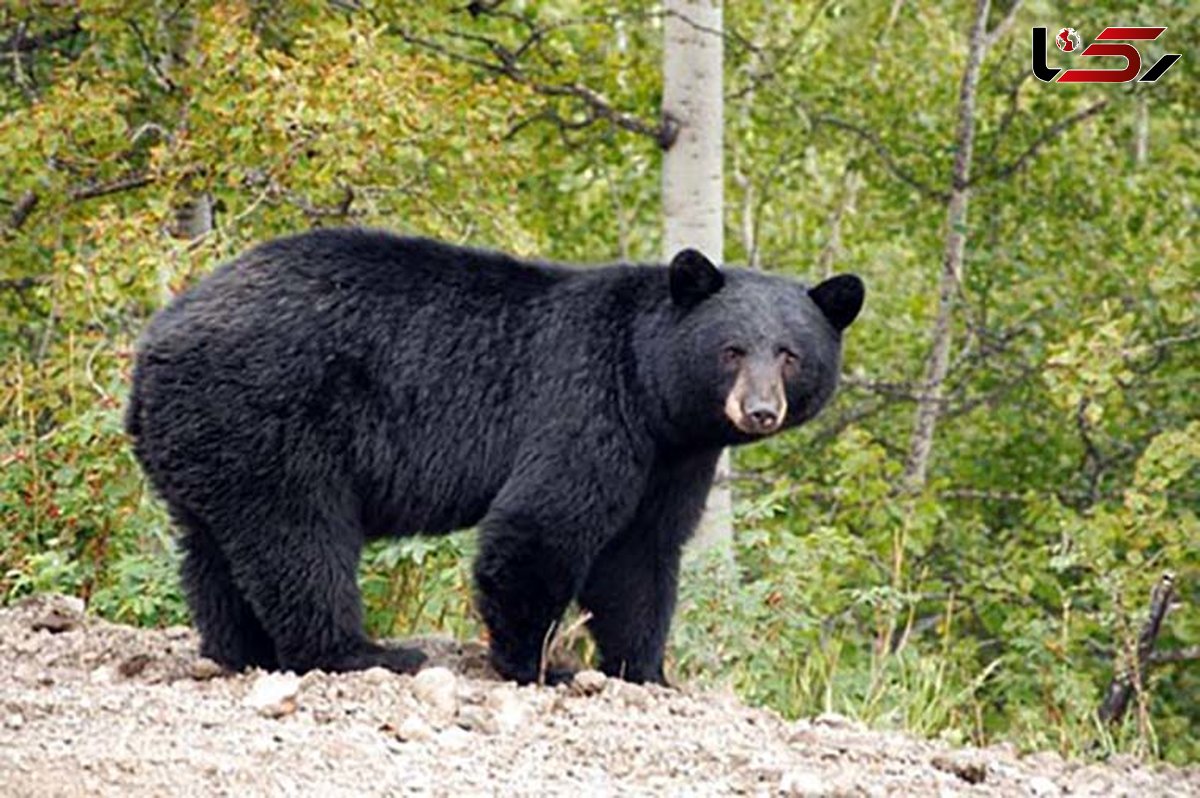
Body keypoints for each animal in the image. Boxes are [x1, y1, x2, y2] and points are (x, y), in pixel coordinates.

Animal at [126, 230, 864, 686]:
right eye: (732, 349)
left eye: (790, 354)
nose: (760, 410)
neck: (651, 390)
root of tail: (154, 344)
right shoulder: (586, 403)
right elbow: (543, 524)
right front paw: (540, 664)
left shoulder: (672, 458)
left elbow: (641, 555)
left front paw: (646, 670)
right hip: (271, 416)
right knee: (299, 537)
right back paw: (362, 651)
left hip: (206, 438)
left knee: (213, 549)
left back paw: (240, 649)